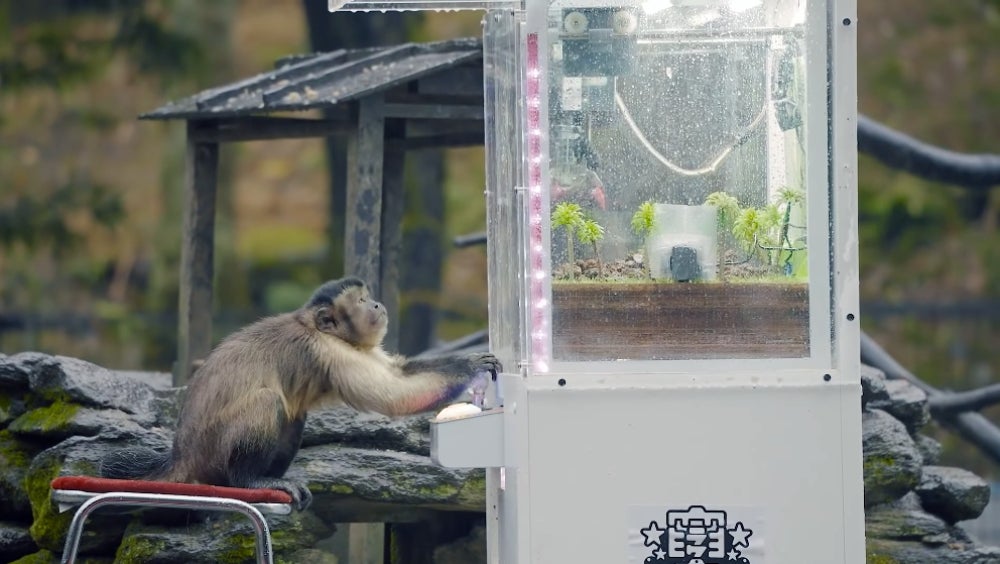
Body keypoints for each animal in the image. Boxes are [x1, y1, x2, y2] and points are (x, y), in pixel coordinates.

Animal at [101, 276, 501, 510]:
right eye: (361, 302)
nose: (376, 304)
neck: (317, 327)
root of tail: (181, 456)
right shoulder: (330, 351)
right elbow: (393, 394)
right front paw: (470, 366)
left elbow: (398, 375)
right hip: (210, 452)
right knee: (268, 402)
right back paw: (250, 480)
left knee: (294, 416)